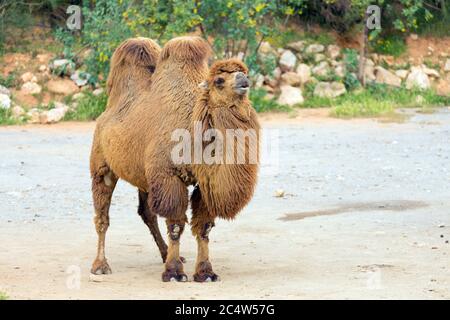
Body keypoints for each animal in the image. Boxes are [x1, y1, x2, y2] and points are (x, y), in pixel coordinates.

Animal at [90, 37, 260, 282]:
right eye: (219, 80)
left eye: (243, 71)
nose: (243, 80)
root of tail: (108, 112)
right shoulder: (168, 176)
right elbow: (176, 225)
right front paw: (173, 273)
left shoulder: (203, 182)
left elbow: (204, 227)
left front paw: (205, 272)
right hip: (102, 167)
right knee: (103, 217)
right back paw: (100, 265)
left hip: (144, 177)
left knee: (147, 213)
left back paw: (167, 254)